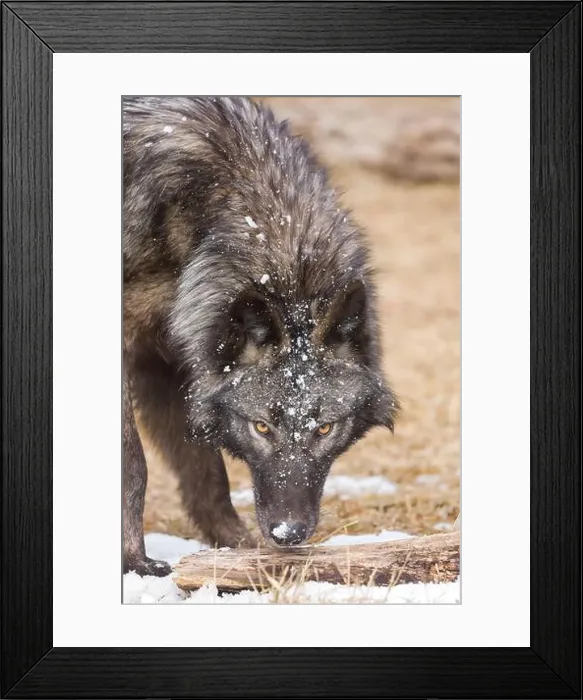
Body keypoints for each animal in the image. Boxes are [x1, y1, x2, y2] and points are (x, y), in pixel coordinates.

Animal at [123, 96, 399, 576]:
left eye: (324, 428)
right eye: (262, 427)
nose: (288, 533)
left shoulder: (170, 363)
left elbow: (206, 474)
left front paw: (236, 552)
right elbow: (134, 464)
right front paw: (135, 563)